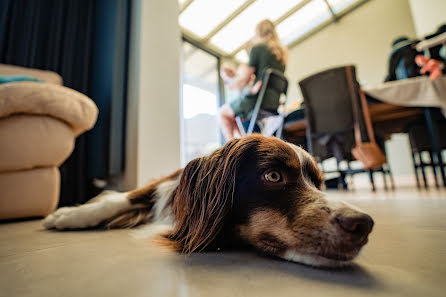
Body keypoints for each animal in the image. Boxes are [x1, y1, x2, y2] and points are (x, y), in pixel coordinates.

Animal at [44, 134, 372, 266]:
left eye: (319, 183)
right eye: (273, 176)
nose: (363, 224)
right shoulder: (165, 184)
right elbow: (118, 199)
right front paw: (66, 215)